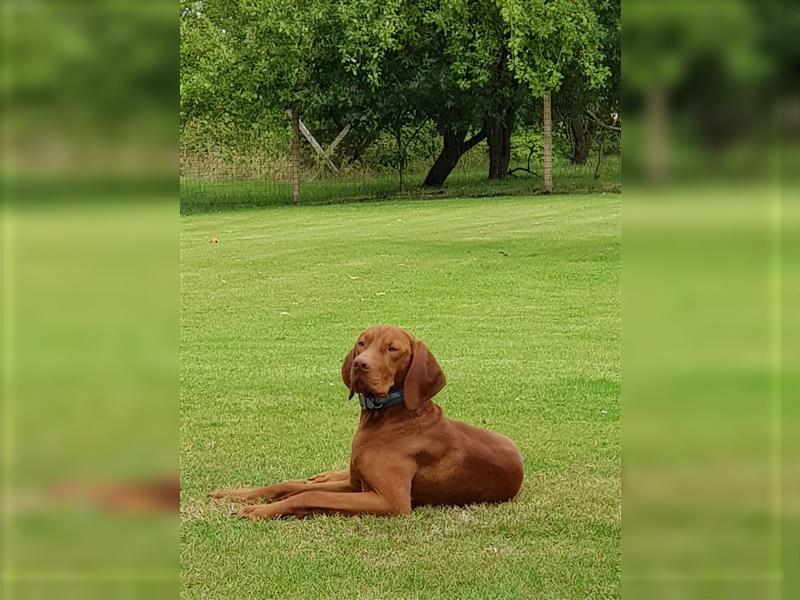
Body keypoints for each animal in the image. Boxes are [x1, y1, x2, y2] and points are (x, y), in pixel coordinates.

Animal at [212, 326, 524, 516]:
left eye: (393, 349)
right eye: (361, 343)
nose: (360, 363)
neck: (387, 418)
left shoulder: (389, 501)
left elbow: (310, 496)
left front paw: (259, 511)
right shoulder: (357, 485)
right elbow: (289, 486)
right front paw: (234, 494)